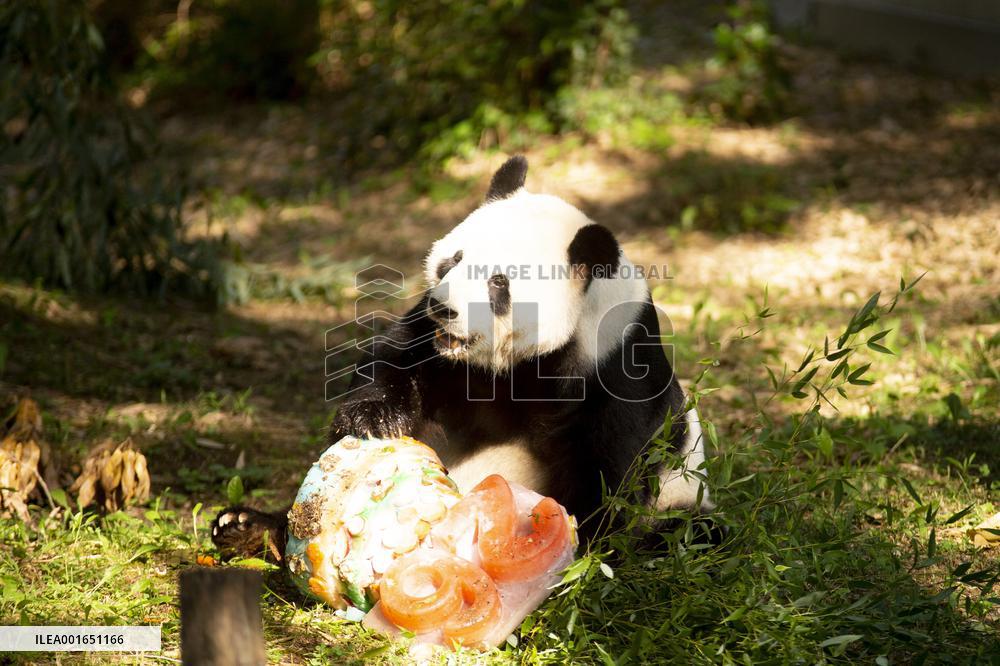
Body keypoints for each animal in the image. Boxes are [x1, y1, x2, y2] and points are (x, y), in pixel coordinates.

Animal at [212, 156, 715, 559]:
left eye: (499, 283)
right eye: (453, 260)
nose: (445, 308)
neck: (520, 362)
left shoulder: (615, 364)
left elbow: (609, 476)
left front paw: (570, 547)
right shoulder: (436, 345)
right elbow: (396, 360)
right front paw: (375, 420)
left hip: (685, 498)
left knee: (694, 532)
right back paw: (249, 528)